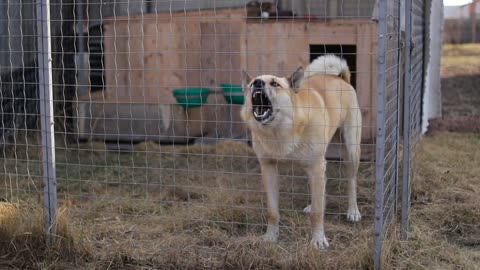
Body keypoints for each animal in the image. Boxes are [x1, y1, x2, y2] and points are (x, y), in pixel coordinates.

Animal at [242, 54, 362, 249]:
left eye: (275, 83)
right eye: (253, 83)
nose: (258, 83)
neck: (282, 130)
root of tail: (340, 78)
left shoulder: (316, 166)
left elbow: (317, 214)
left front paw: (318, 240)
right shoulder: (269, 168)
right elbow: (272, 212)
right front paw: (270, 237)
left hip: (351, 151)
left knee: (351, 181)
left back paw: (353, 211)